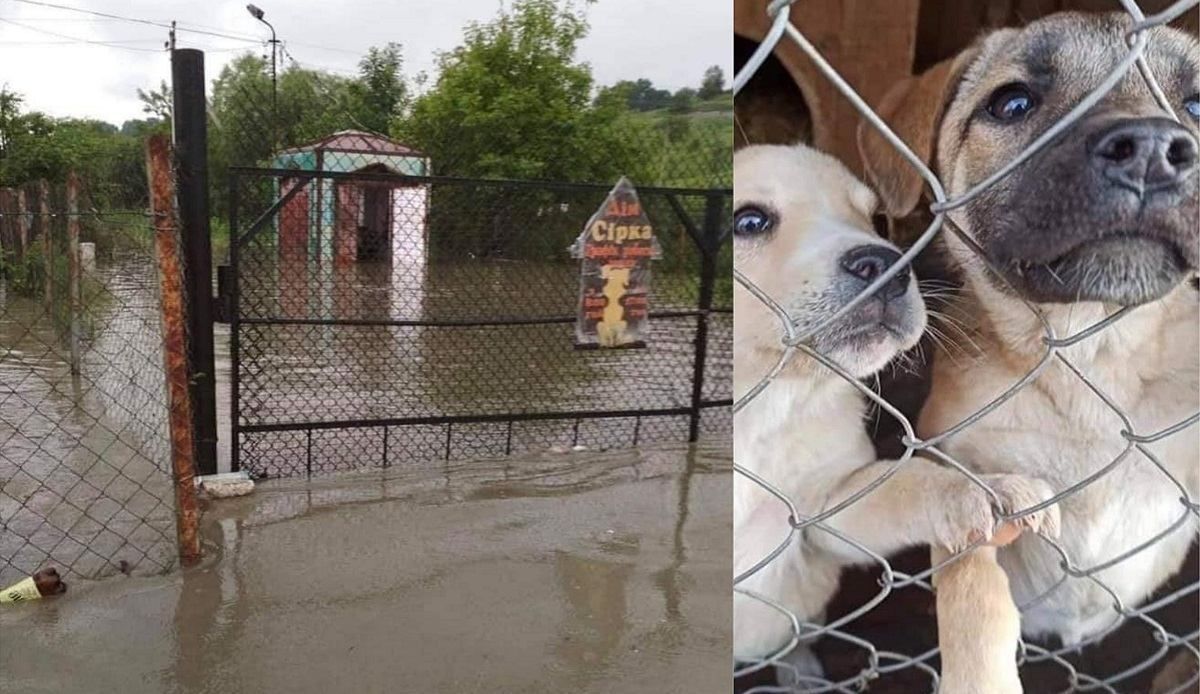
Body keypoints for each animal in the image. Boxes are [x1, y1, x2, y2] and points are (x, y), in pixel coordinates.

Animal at [729, 142, 1060, 681]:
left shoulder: (825, 513)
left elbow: (910, 483)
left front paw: (986, 490)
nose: (886, 266)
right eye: (749, 221)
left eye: (876, 220)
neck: (761, 410)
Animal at [859, 8, 1200, 681]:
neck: (1090, 355)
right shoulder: (963, 476)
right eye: (1013, 103)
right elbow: (973, 591)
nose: (1151, 151)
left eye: (1198, 103)